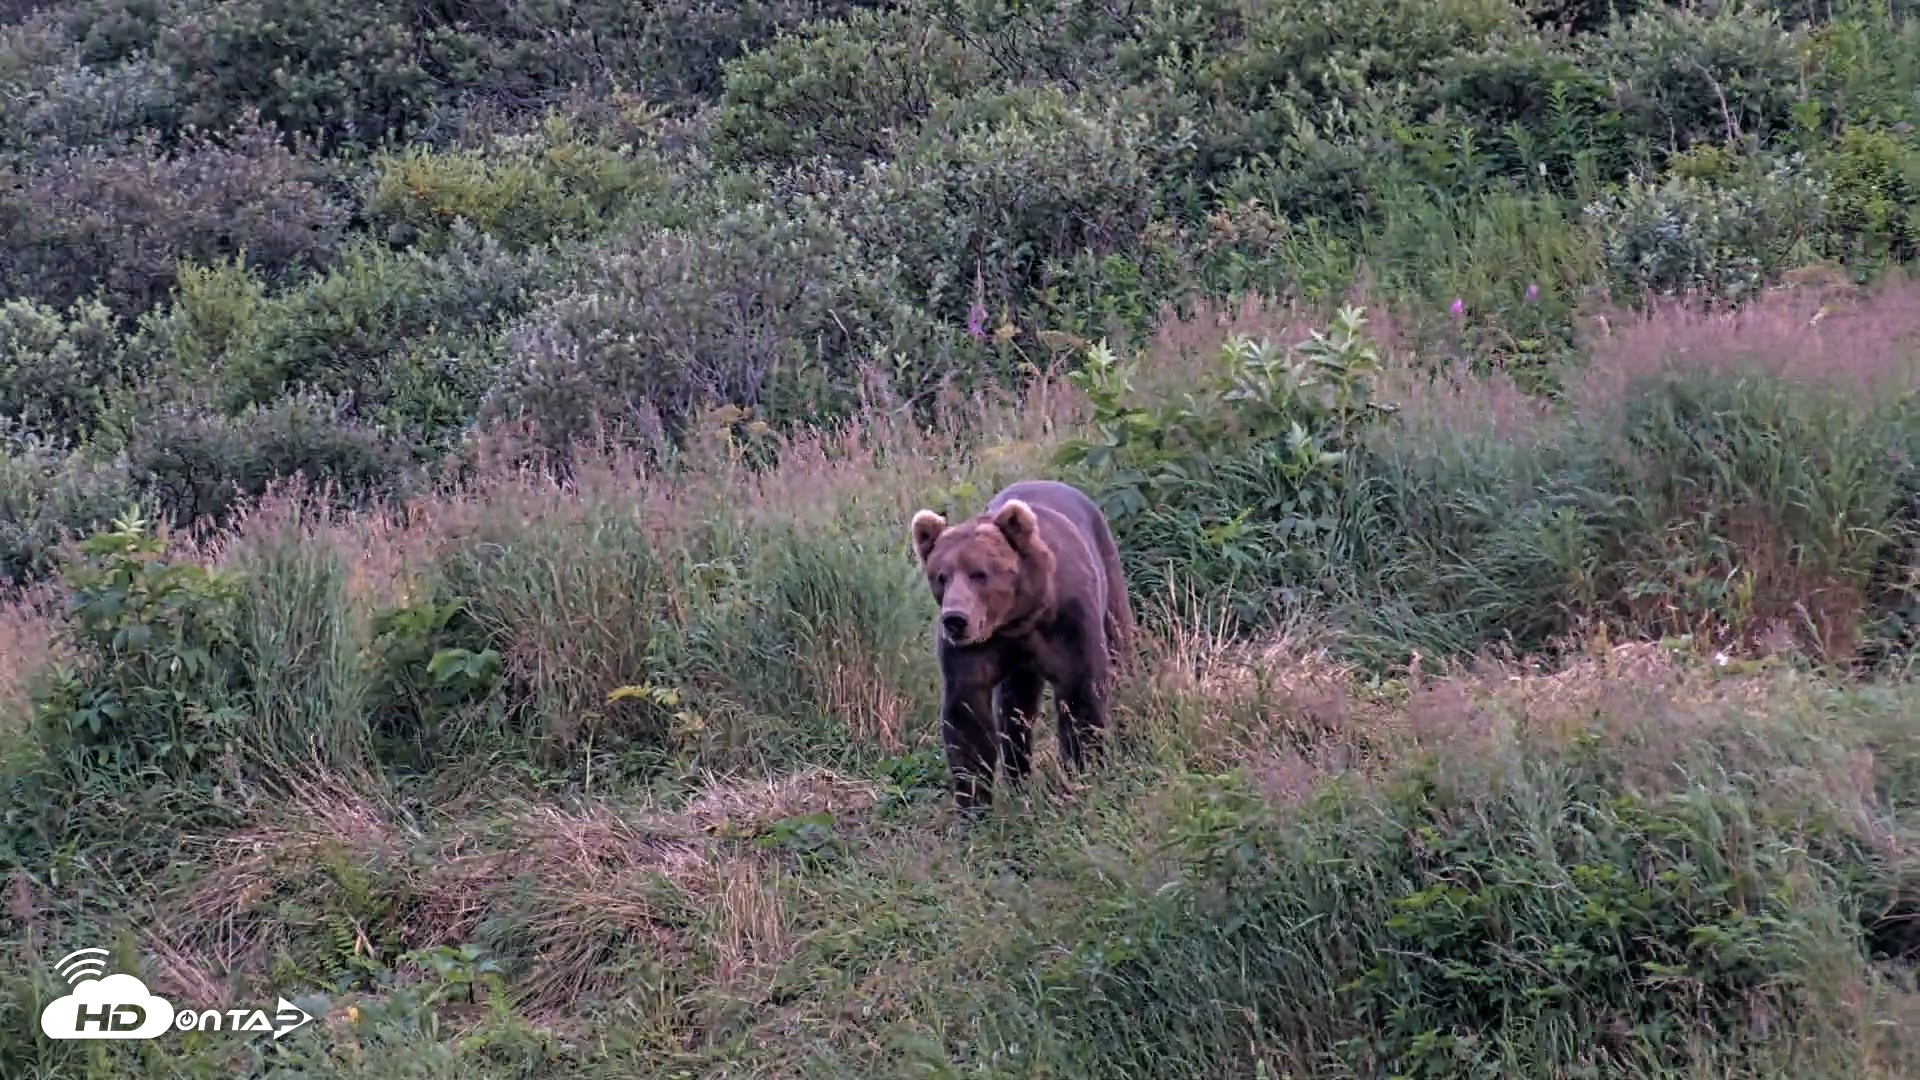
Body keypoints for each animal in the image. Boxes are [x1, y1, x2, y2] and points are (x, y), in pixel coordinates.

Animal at [907, 479, 1137, 813]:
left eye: (979, 573)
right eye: (941, 576)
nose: (955, 620)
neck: (1017, 618)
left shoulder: (1070, 625)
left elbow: (1081, 694)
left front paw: (1082, 772)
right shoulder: (976, 650)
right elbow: (967, 717)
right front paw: (974, 804)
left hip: (1109, 574)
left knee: (1121, 646)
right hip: (1017, 669)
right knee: (1015, 712)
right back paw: (1018, 778)